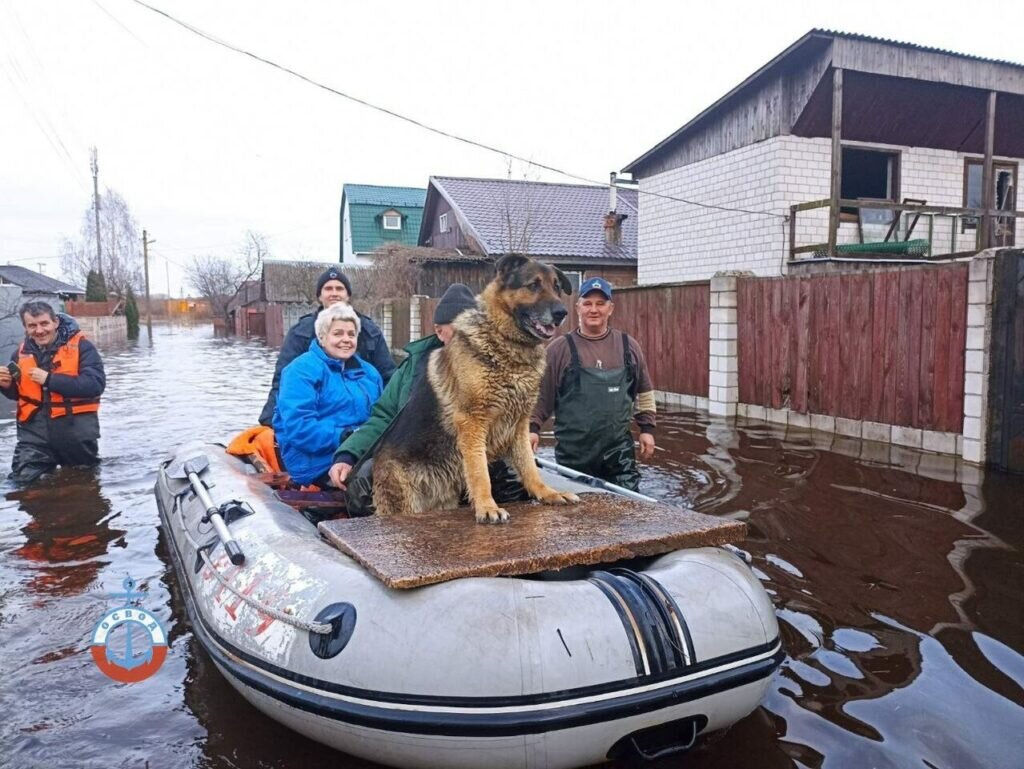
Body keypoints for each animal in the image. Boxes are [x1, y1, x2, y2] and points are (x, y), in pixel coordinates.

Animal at [374, 255, 585, 528]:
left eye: (557, 287)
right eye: (533, 285)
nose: (561, 312)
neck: (507, 346)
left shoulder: (519, 426)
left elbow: (528, 465)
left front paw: (547, 493)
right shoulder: (472, 423)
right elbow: (479, 471)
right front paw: (487, 506)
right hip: (408, 503)